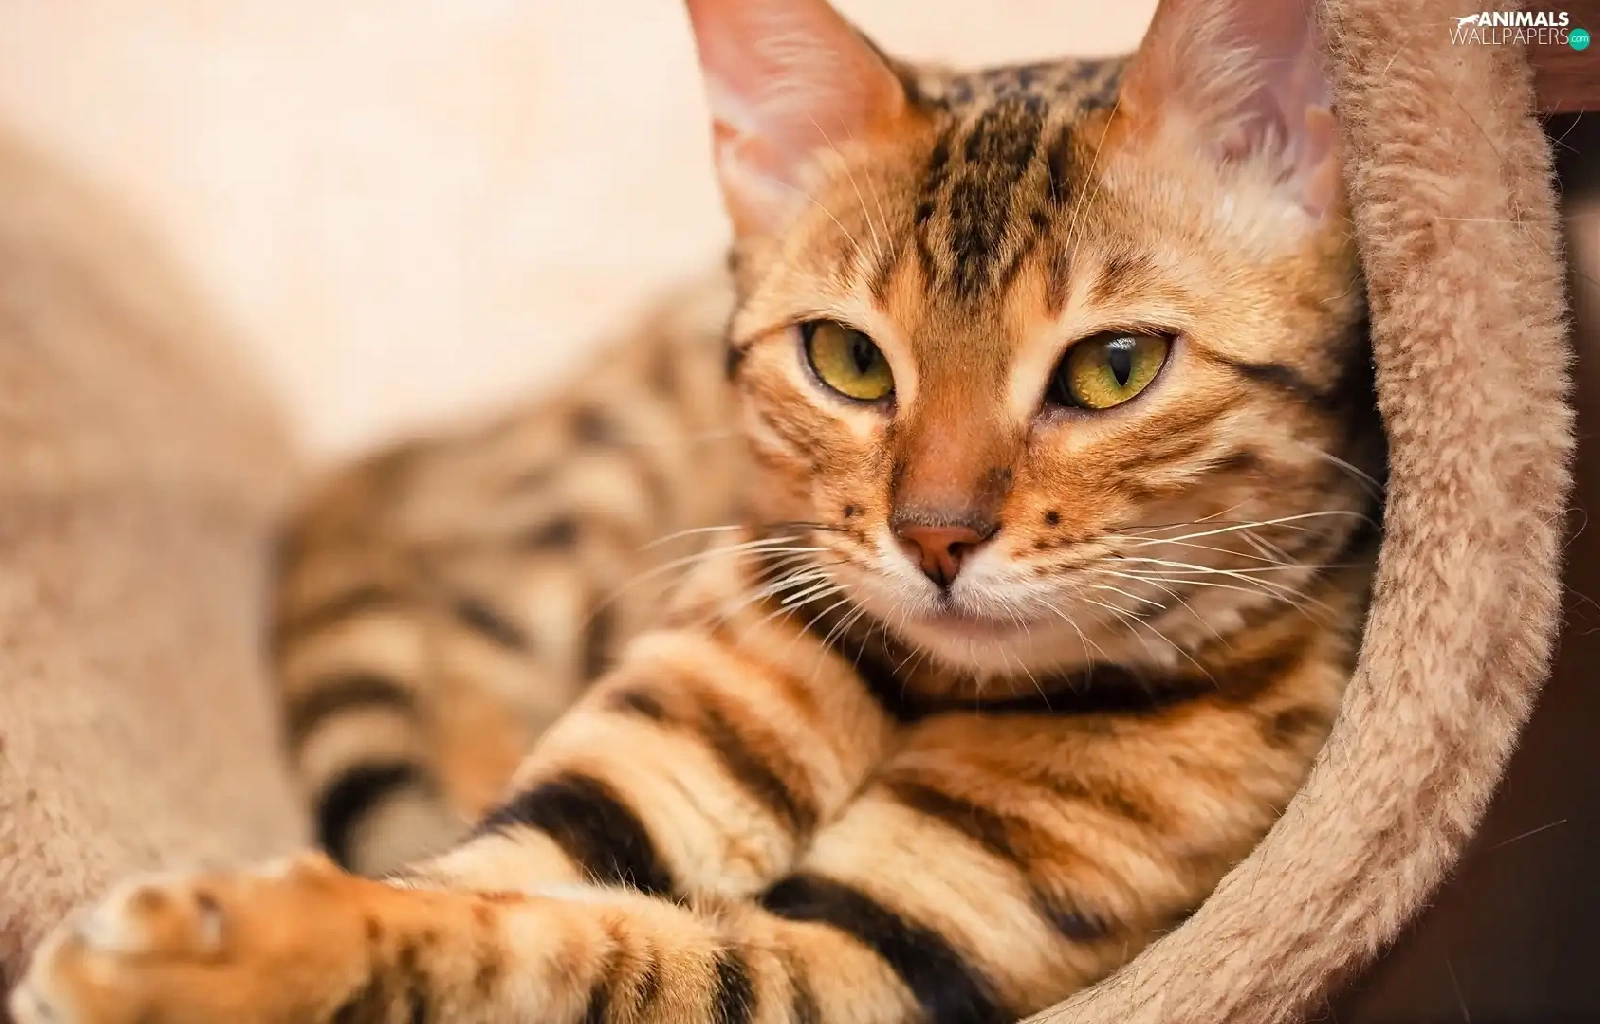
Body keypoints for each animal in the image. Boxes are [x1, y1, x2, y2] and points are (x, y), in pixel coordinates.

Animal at [9, 0, 1384, 1020]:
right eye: (849, 359)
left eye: (1113, 368)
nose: (935, 537)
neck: (925, 688)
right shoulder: (613, 790)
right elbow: (466, 889)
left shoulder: (871, 955)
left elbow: (556, 951)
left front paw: (212, 963)